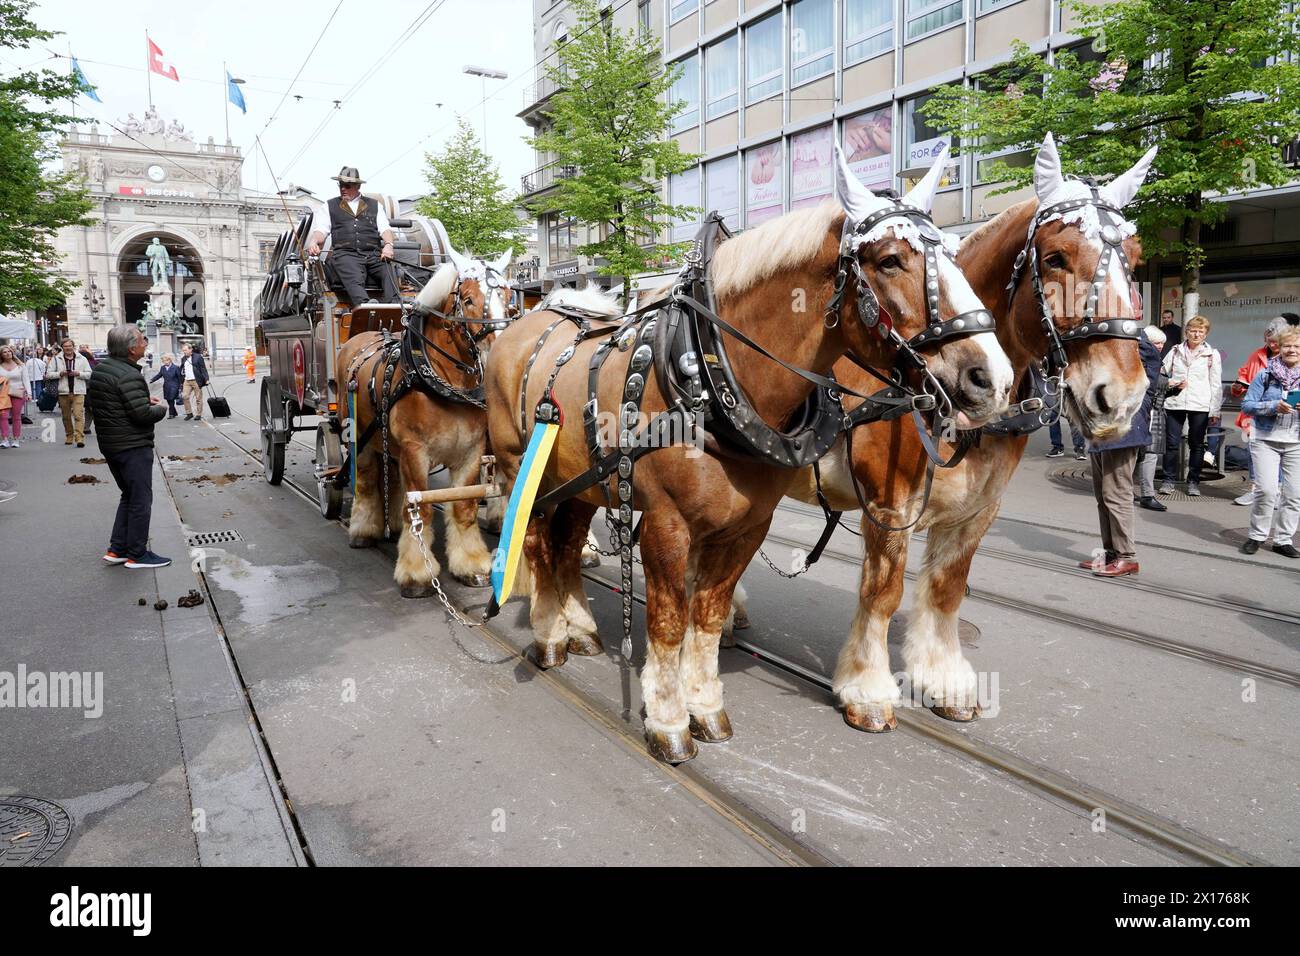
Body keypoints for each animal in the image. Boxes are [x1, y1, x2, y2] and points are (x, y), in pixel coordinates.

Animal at [483, 147, 1008, 764]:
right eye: (889, 260)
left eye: (952, 252)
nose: (990, 378)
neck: (712, 375)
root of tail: (524, 324)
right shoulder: (666, 525)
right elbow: (668, 622)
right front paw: (668, 721)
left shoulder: (749, 525)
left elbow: (707, 617)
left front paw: (705, 706)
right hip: (524, 472)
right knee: (536, 545)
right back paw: (549, 637)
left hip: (583, 482)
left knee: (565, 545)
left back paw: (582, 628)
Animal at [774, 134, 1154, 728]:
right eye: (1055, 258)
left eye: (1136, 261)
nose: (1123, 394)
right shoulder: (890, 504)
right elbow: (883, 591)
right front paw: (867, 688)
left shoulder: (979, 507)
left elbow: (947, 590)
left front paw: (943, 680)